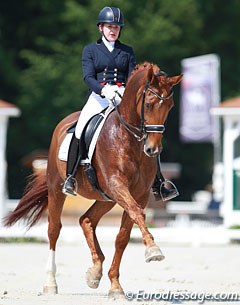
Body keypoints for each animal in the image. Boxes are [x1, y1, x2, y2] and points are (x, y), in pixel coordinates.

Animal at [4, 62, 182, 296]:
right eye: (149, 104)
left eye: (169, 106)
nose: (152, 149)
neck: (128, 138)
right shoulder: (117, 185)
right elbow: (137, 214)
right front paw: (153, 250)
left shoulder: (139, 194)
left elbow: (123, 236)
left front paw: (115, 286)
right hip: (57, 189)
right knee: (54, 229)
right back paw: (51, 283)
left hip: (106, 197)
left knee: (86, 220)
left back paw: (95, 272)